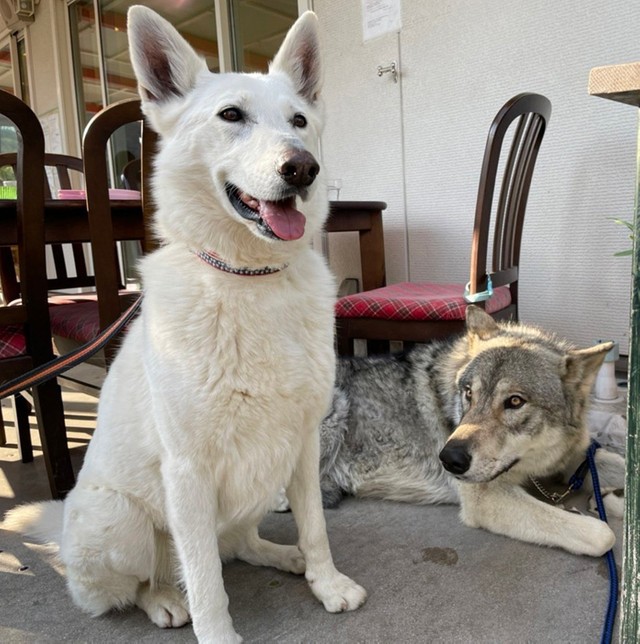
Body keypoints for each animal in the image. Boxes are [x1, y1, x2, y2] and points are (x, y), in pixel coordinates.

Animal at [6, 6, 364, 644]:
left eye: (299, 120)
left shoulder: (300, 444)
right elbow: (204, 578)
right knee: (138, 582)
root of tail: (65, 523)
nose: (303, 167)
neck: (248, 279)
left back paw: (283, 555)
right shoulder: (188, 471)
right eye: (231, 115)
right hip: (119, 519)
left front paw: (325, 582)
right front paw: (215, 631)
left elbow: (316, 528)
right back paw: (165, 601)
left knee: (239, 543)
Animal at [316, 304, 624, 556]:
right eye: (468, 393)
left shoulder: (576, 460)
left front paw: (610, 498)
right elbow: (602, 535)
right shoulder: (484, 497)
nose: (449, 459)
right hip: (336, 404)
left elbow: (620, 464)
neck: (532, 465)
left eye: (515, 401)